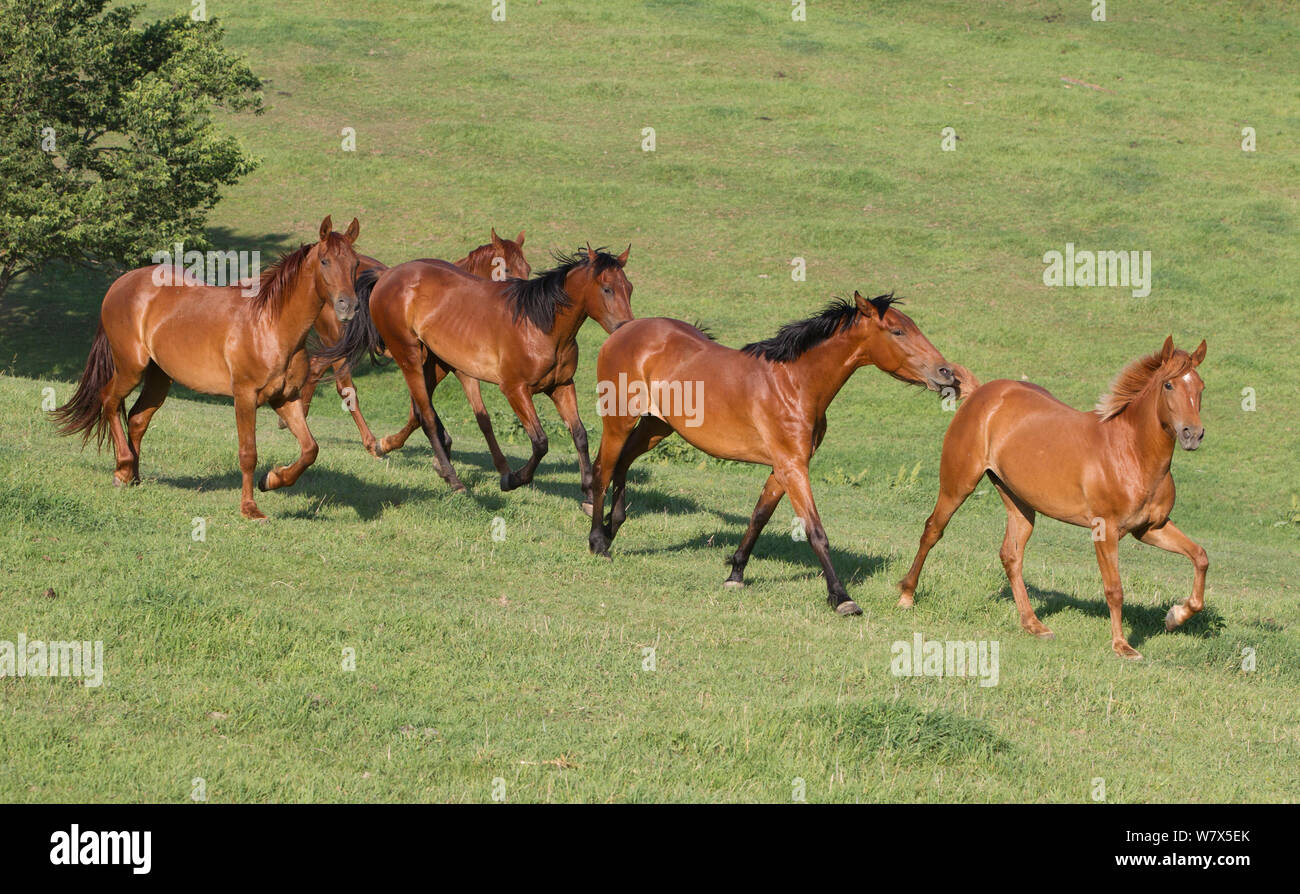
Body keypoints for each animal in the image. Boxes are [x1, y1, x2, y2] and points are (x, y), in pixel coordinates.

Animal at [52, 214, 361, 517]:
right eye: (325, 261)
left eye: (355, 264)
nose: (349, 307)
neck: (269, 325)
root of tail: (120, 284)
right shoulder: (245, 396)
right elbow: (248, 454)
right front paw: (249, 508)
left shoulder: (286, 398)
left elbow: (310, 449)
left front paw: (271, 480)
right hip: (131, 368)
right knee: (109, 401)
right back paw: (122, 469)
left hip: (159, 377)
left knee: (138, 419)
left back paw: (133, 477)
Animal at [299, 227, 533, 457]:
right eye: (507, 269)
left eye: (528, 269)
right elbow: (418, 412)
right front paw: (391, 443)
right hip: (338, 342)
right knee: (343, 385)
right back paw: (368, 441)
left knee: (316, 367)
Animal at [319, 242, 634, 504]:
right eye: (607, 289)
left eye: (628, 287)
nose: (625, 329)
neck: (540, 325)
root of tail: (387, 276)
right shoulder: (515, 390)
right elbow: (540, 442)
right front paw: (512, 479)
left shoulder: (561, 386)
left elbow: (579, 435)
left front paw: (589, 495)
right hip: (408, 355)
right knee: (427, 416)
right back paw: (454, 480)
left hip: (435, 362)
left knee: (419, 412)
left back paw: (392, 447)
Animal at [585, 293, 972, 613]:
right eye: (897, 331)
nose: (947, 373)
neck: (794, 384)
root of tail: (624, 331)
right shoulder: (793, 467)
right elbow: (816, 531)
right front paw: (841, 598)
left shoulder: (782, 467)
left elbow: (759, 516)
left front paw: (735, 575)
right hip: (619, 421)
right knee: (603, 470)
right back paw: (598, 543)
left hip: (654, 427)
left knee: (622, 463)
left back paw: (612, 527)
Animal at [899, 337, 1211, 660]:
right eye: (1169, 385)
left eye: (1201, 386)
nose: (1192, 434)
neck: (1130, 452)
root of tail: (981, 393)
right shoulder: (1105, 531)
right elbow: (1114, 589)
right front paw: (1122, 646)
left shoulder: (1150, 528)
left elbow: (1200, 557)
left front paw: (1175, 616)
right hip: (958, 485)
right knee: (933, 530)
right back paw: (907, 595)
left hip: (1019, 502)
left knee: (1011, 556)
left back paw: (1034, 625)